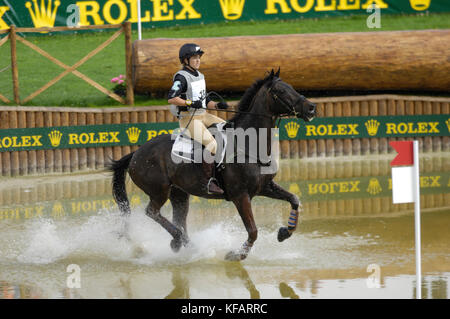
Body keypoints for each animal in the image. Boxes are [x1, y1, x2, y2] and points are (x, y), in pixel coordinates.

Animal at [108, 69, 316, 262]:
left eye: (291, 87)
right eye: (281, 91)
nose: (312, 108)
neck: (249, 144)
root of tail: (136, 153)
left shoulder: (265, 187)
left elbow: (294, 199)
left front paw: (285, 232)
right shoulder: (240, 196)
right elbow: (253, 230)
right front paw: (236, 255)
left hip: (179, 193)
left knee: (179, 219)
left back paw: (185, 244)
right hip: (159, 191)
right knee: (152, 212)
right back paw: (181, 241)